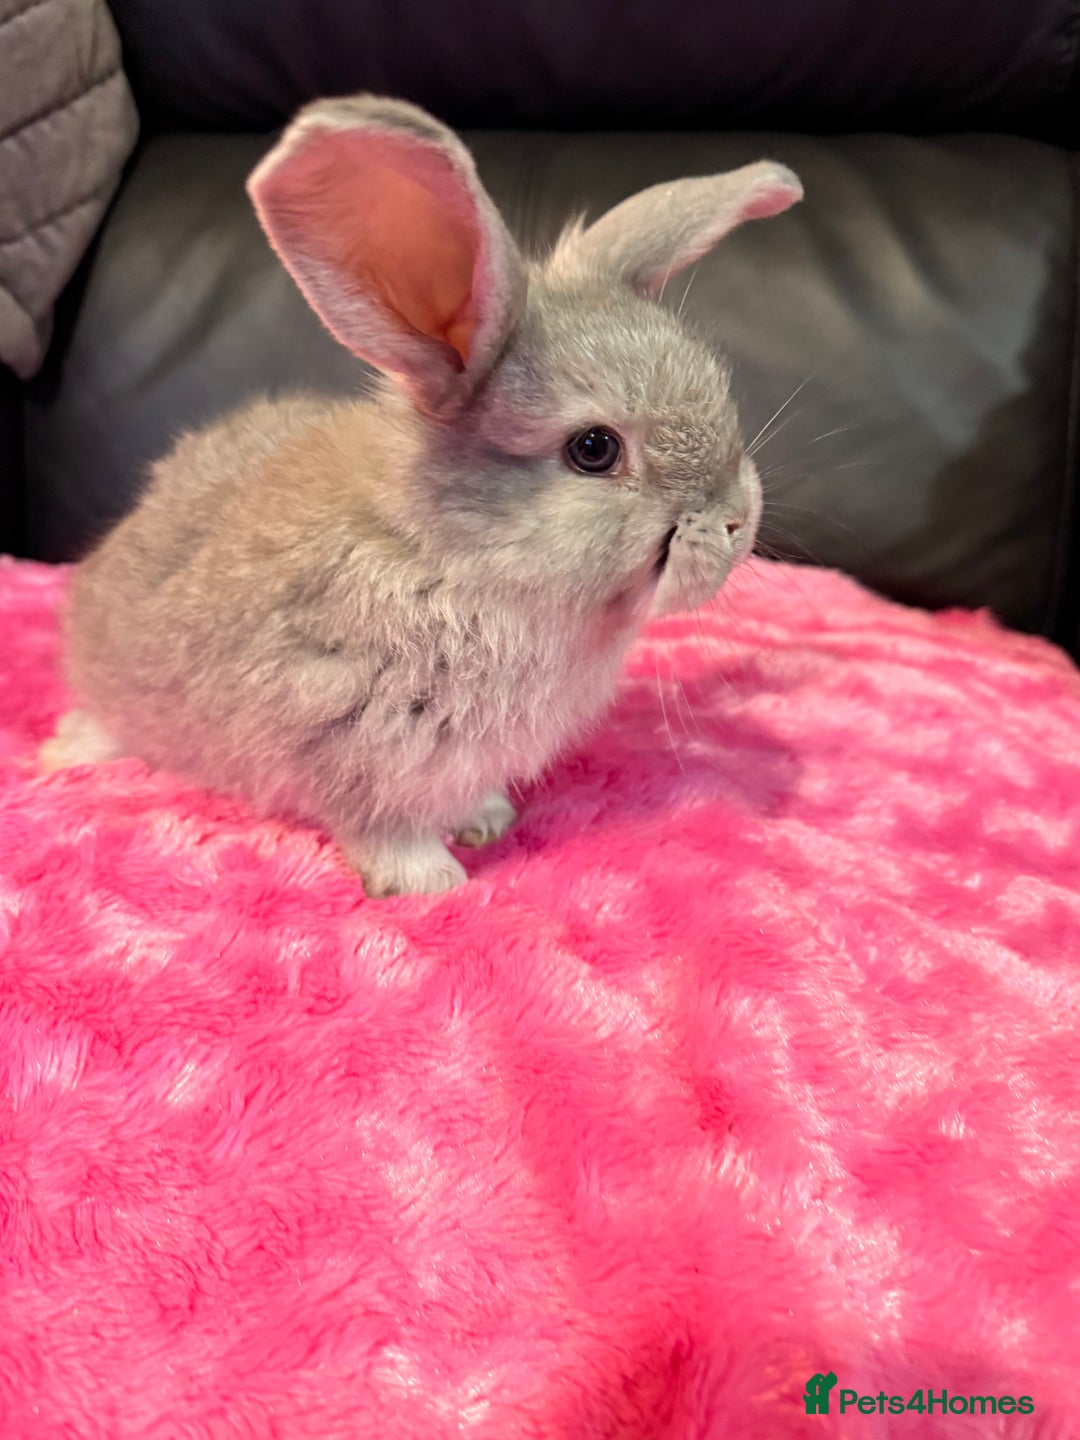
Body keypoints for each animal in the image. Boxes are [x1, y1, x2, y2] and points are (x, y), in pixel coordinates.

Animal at [39, 94, 802, 897]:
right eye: (594, 449)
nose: (738, 520)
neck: (454, 555)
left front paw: (486, 820)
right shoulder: (347, 742)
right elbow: (383, 827)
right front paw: (430, 883)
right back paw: (66, 756)